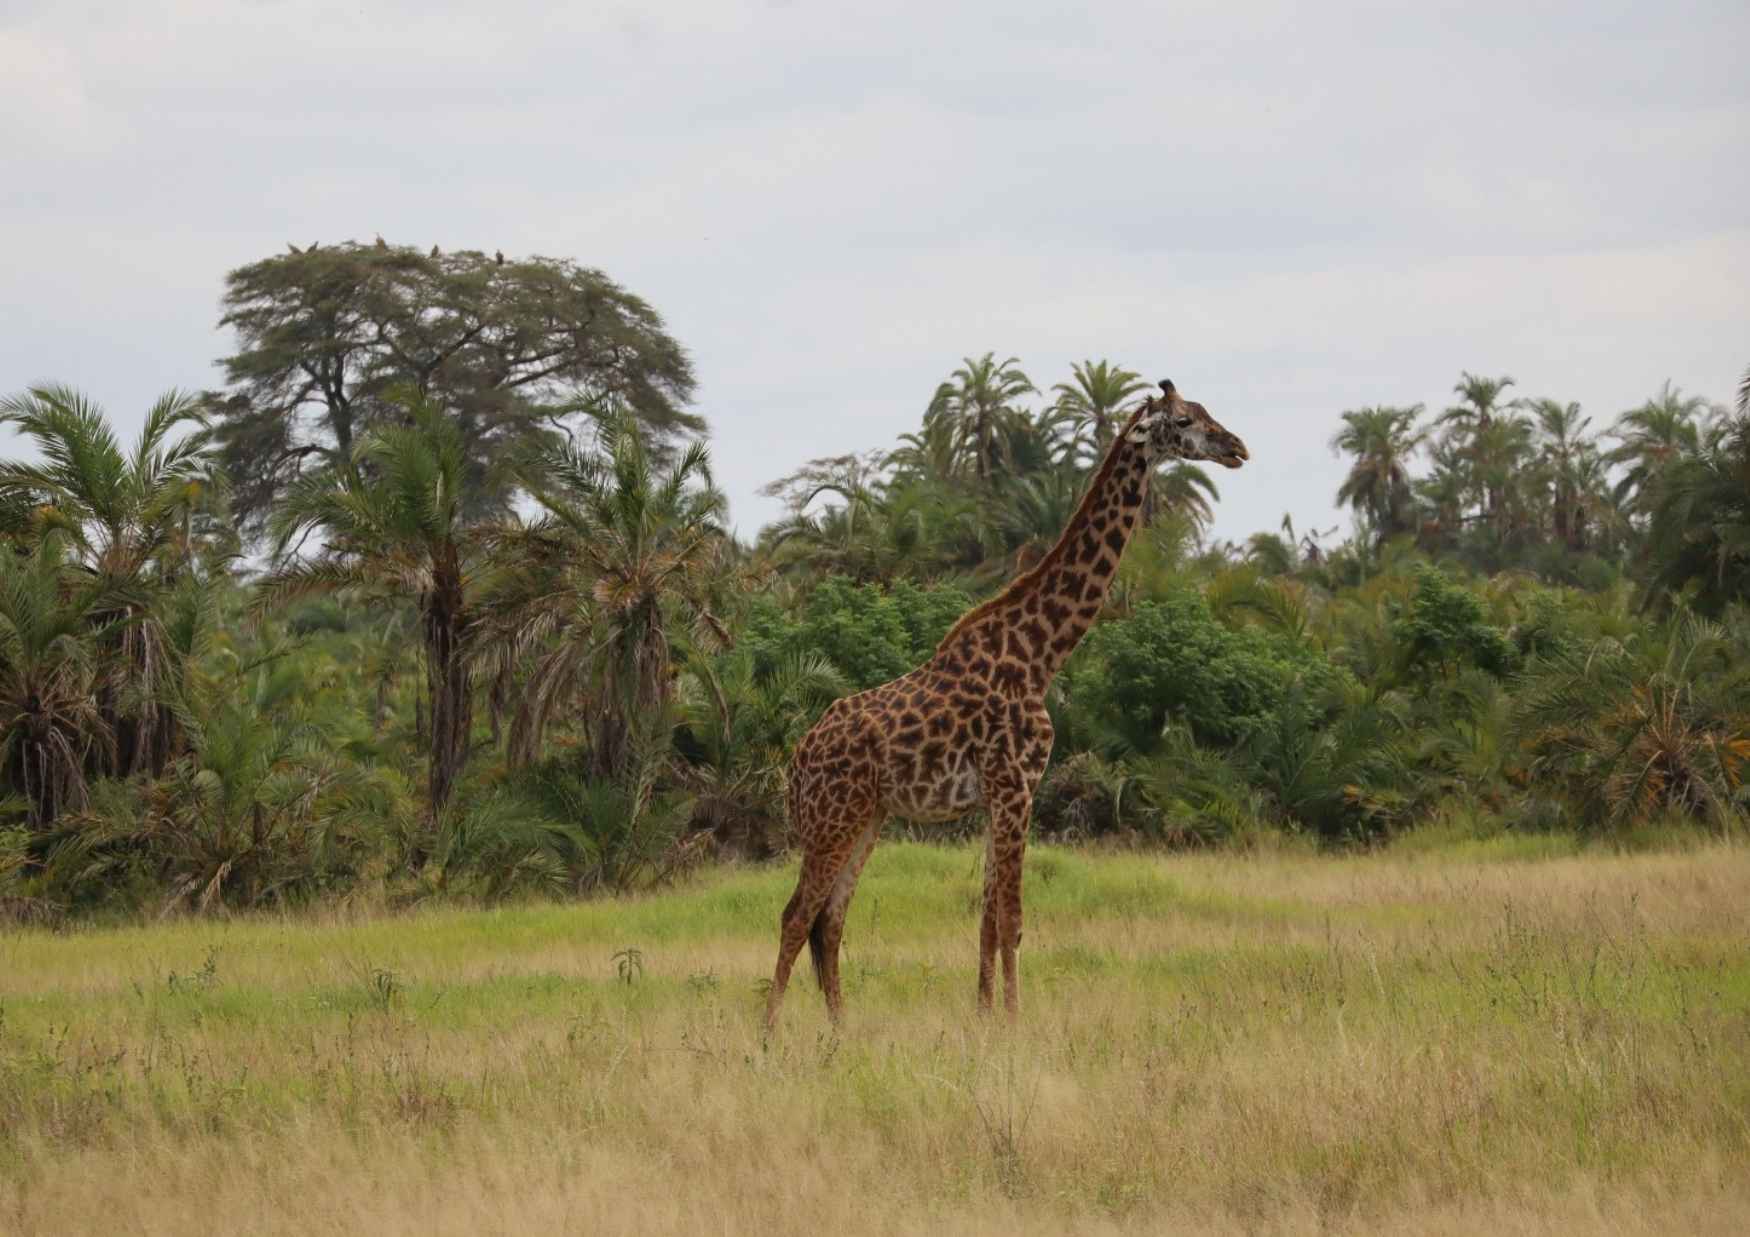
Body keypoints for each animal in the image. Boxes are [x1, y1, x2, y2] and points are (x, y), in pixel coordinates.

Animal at [765, 379, 1249, 1028]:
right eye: (1183, 421)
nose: (1237, 447)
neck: (1041, 655)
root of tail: (796, 763)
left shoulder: (1000, 794)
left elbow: (987, 922)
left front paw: (985, 1019)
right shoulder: (1016, 784)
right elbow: (1013, 921)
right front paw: (1017, 1025)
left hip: (866, 818)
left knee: (831, 920)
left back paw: (842, 1033)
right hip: (831, 820)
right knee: (797, 916)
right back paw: (769, 1035)